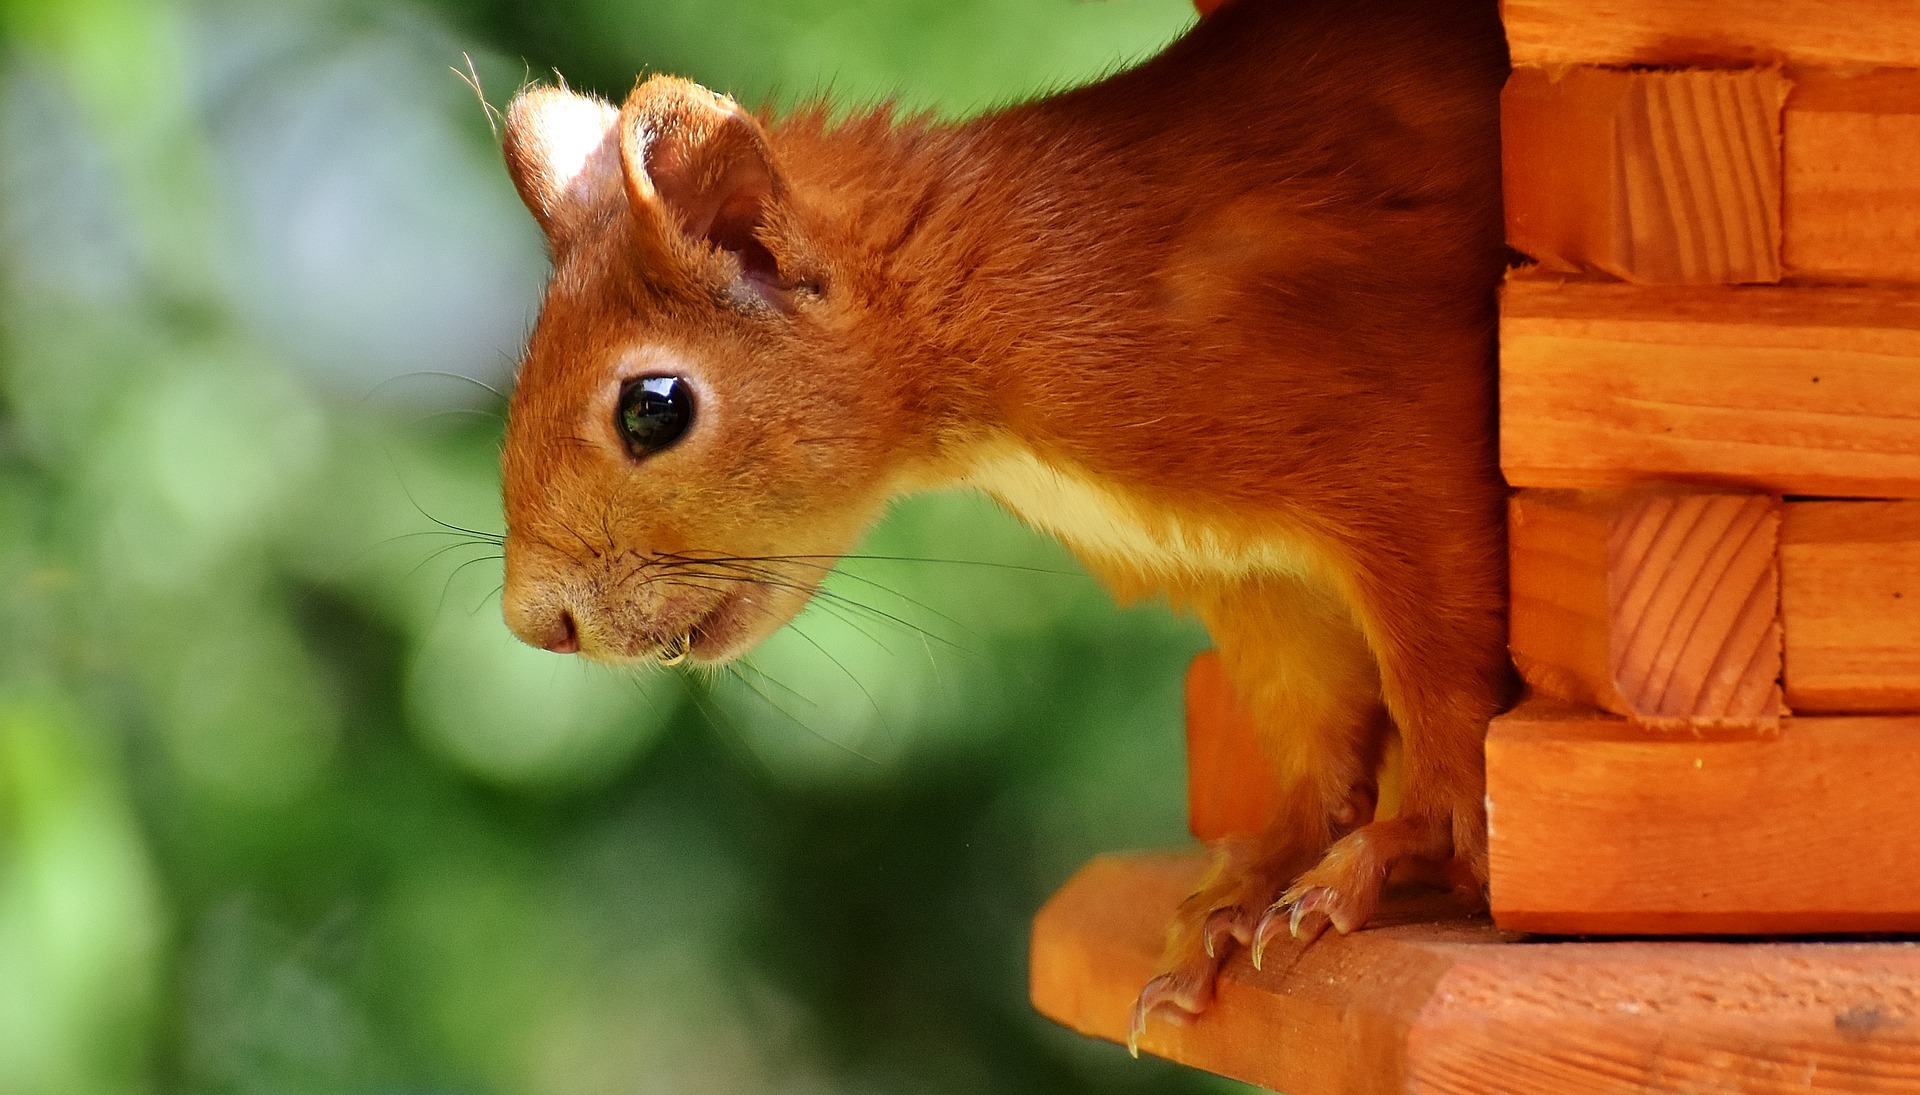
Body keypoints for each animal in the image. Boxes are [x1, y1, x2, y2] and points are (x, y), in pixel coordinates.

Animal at [495, 0, 1512, 1045]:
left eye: (653, 408)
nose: (535, 623)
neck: (985, 300)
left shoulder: (1402, 466)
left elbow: (1447, 713)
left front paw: (1388, 854)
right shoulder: (1256, 580)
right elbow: (1318, 752)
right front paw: (1246, 887)